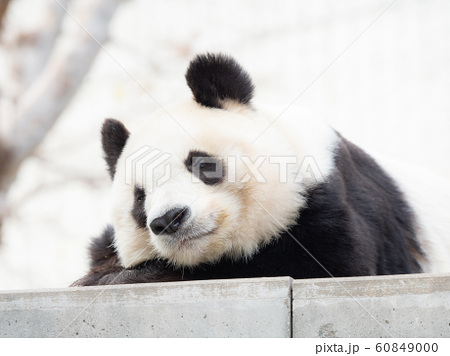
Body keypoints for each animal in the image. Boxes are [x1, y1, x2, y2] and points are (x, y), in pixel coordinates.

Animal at [70, 52, 450, 286]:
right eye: (139, 198)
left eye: (202, 164)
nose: (170, 219)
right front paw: (105, 272)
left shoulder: (332, 200)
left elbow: (325, 266)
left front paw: (116, 277)